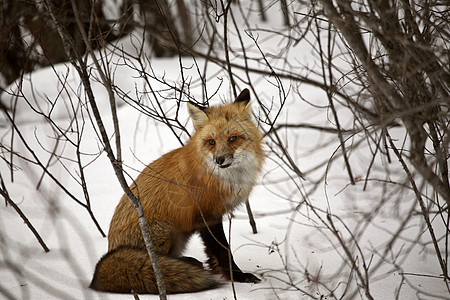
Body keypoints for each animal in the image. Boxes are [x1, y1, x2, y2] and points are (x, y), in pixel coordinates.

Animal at [90, 88, 266, 292]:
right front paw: (237, 276)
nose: (219, 160)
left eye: (233, 139)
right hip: (167, 228)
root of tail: (110, 249)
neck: (223, 178)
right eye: (211, 142)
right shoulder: (206, 215)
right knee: (158, 261)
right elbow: (223, 250)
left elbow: (215, 252)